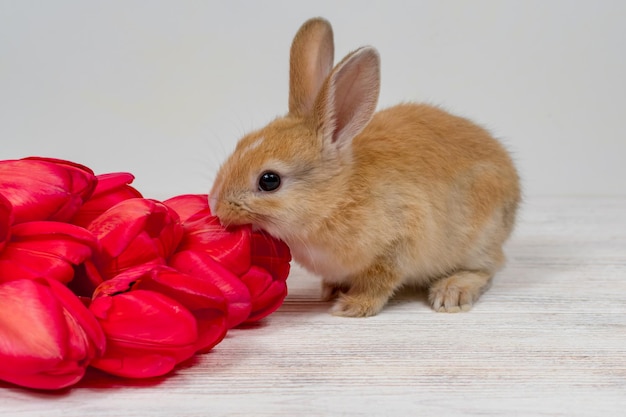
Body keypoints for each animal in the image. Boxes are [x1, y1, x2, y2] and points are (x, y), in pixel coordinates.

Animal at [207, 15, 520, 316]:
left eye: (269, 180)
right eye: (242, 142)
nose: (216, 207)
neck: (336, 198)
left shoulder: (398, 243)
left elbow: (378, 282)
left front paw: (350, 307)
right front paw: (331, 290)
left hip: (480, 237)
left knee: (489, 266)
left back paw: (451, 292)